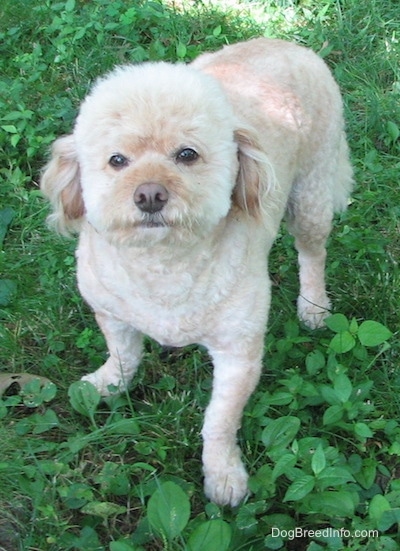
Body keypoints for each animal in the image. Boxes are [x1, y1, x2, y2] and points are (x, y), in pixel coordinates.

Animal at [41, 36, 354, 506]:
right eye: (117, 160)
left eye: (187, 155)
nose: (150, 194)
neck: (164, 265)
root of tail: (282, 42)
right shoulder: (110, 312)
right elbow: (123, 355)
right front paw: (107, 383)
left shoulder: (239, 354)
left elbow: (219, 420)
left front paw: (222, 474)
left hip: (311, 196)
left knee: (311, 253)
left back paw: (313, 306)